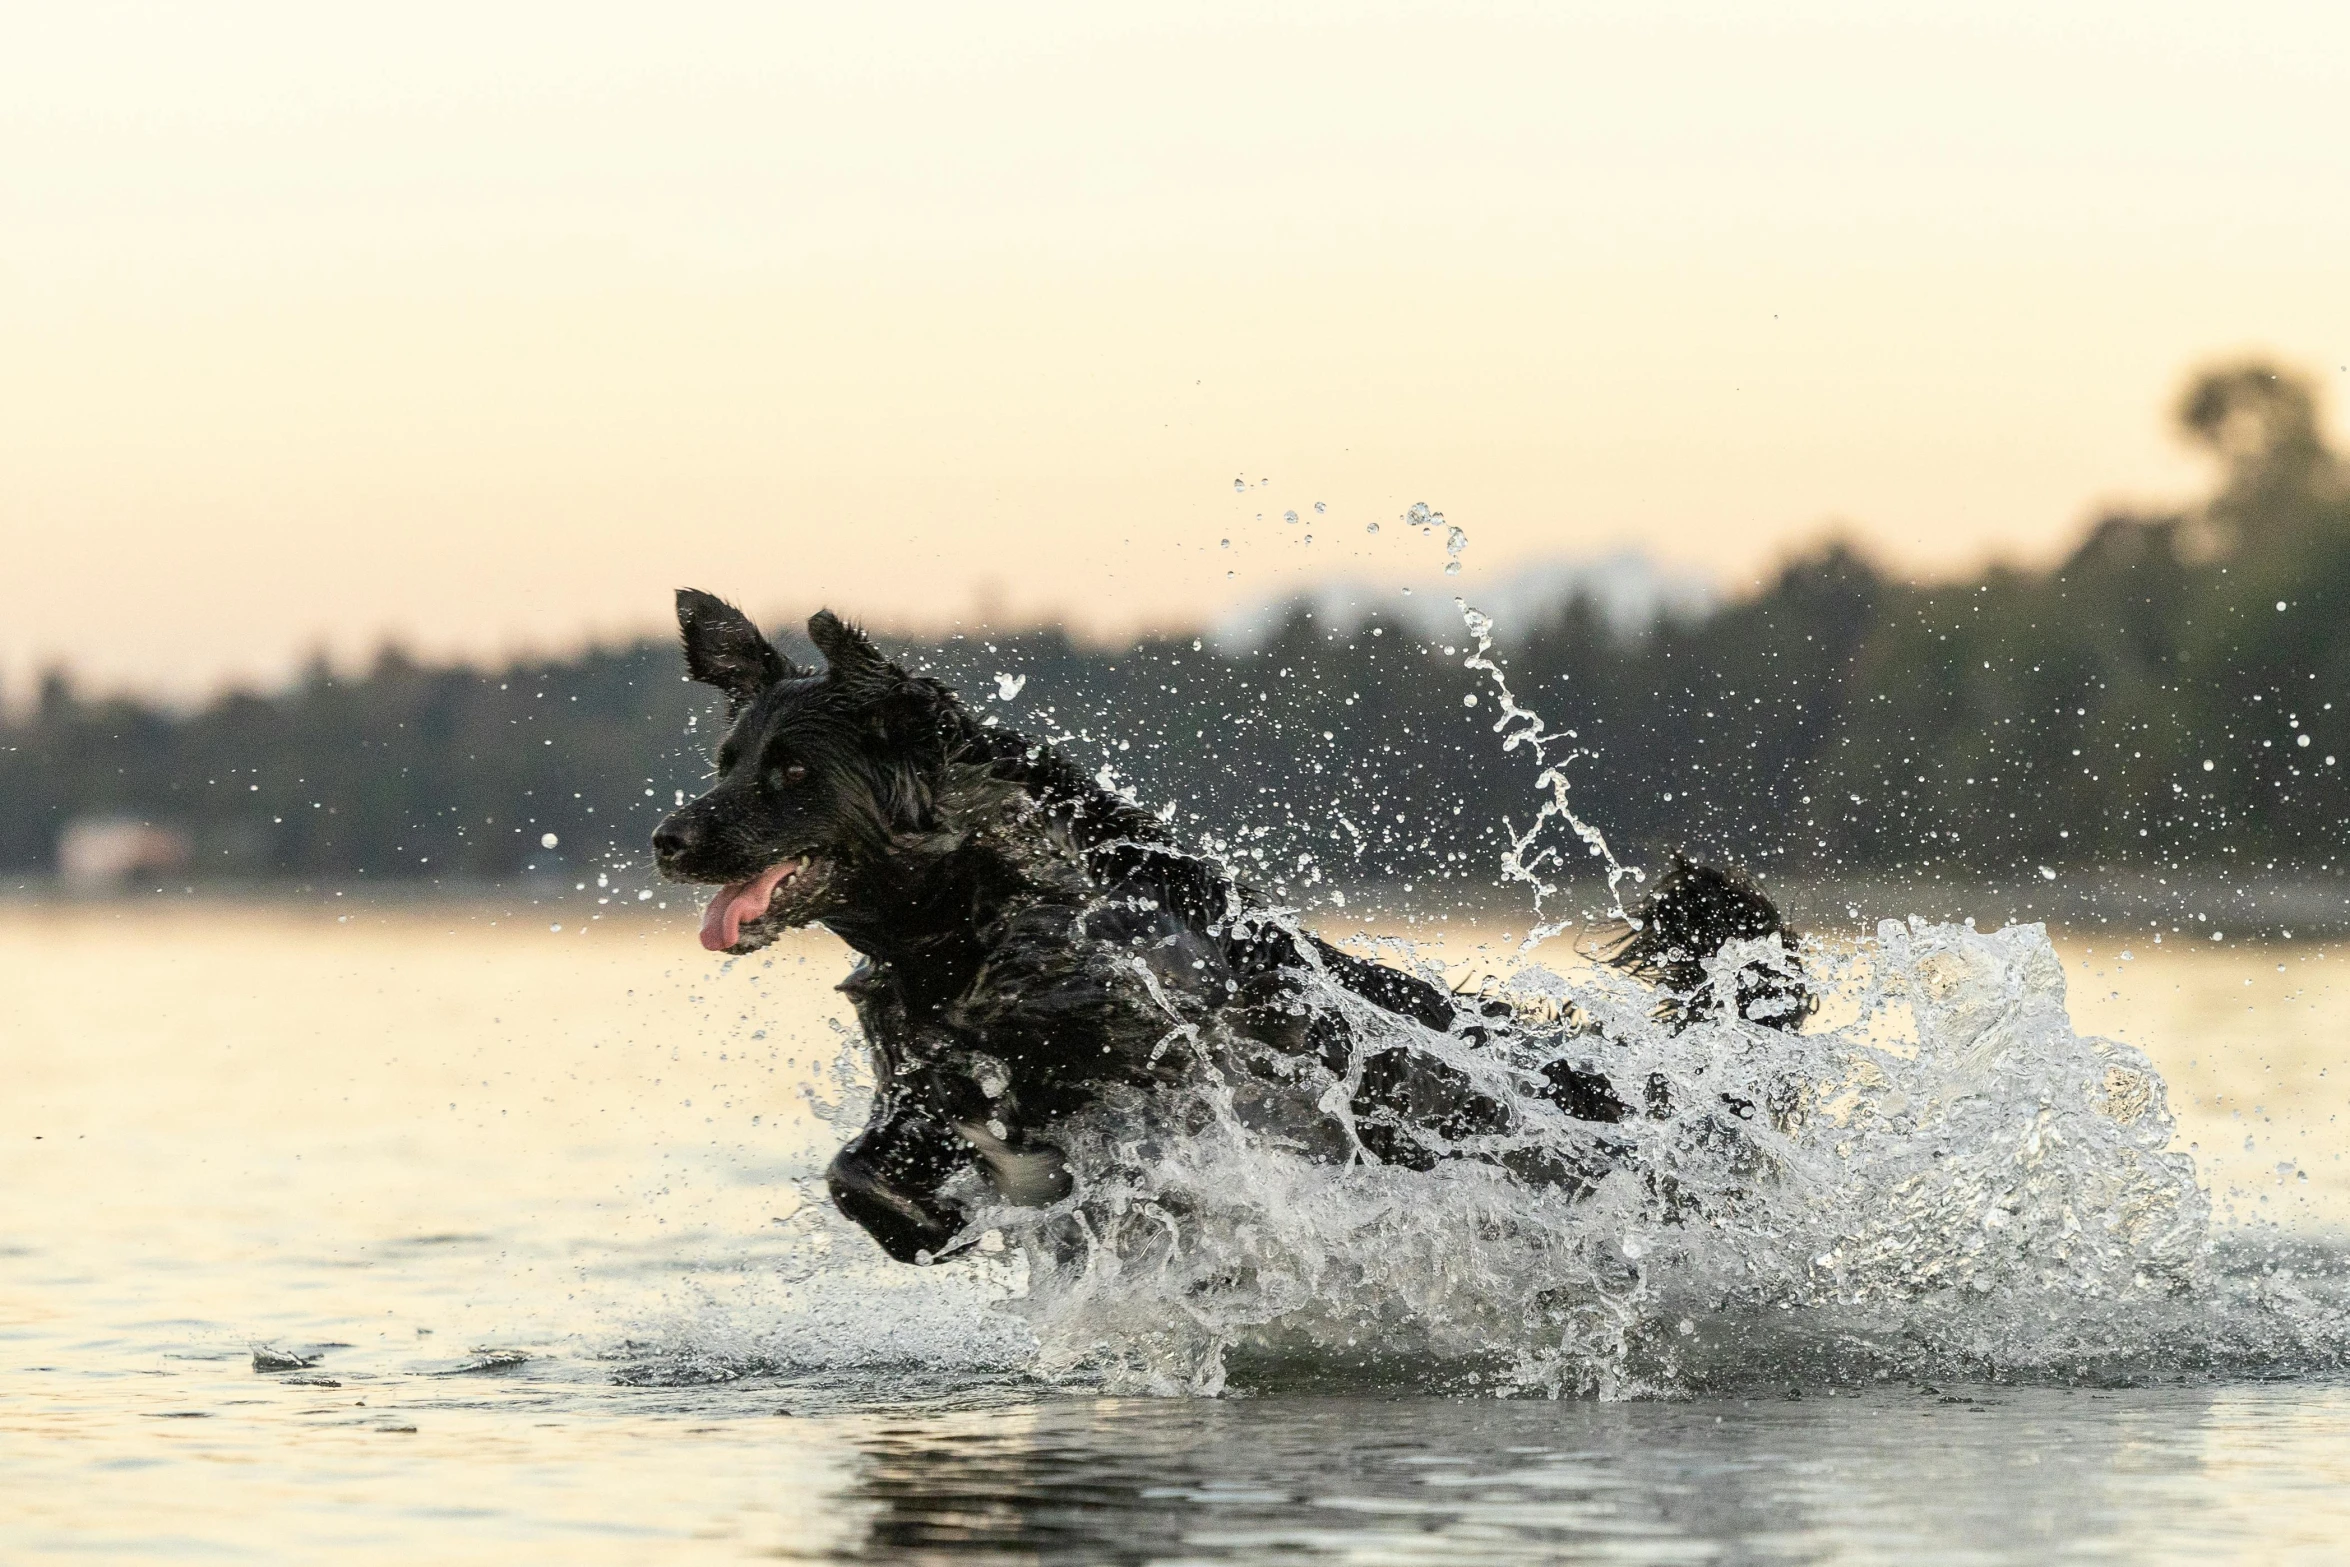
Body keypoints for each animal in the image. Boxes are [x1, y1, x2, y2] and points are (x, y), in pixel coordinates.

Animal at [648, 594, 1795, 1268]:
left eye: (794, 772)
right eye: (727, 761)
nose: (668, 838)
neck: (986, 905)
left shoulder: (1159, 1068)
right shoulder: (936, 1072)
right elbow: (868, 1163)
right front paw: (922, 1213)